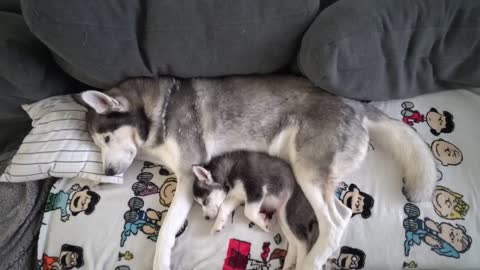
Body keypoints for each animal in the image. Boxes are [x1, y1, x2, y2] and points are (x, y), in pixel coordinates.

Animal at [76, 75, 438, 268]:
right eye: (96, 143)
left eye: (105, 138)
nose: (109, 167)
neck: (157, 111)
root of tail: (355, 104)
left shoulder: (188, 175)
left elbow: (166, 230)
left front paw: (160, 260)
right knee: (344, 211)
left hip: (306, 171)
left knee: (334, 223)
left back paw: (313, 261)